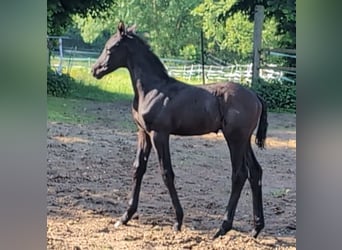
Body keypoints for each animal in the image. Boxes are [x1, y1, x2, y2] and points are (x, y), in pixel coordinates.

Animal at [92, 21, 268, 238]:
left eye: (111, 48)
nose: (95, 70)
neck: (152, 89)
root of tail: (255, 96)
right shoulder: (143, 133)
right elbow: (138, 168)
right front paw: (125, 216)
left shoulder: (159, 134)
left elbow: (167, 173)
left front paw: (178, 221)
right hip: (245, 141)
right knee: (255, 172)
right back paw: (255, 229)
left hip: (234, 139)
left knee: (239, 174)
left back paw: (222, 228)